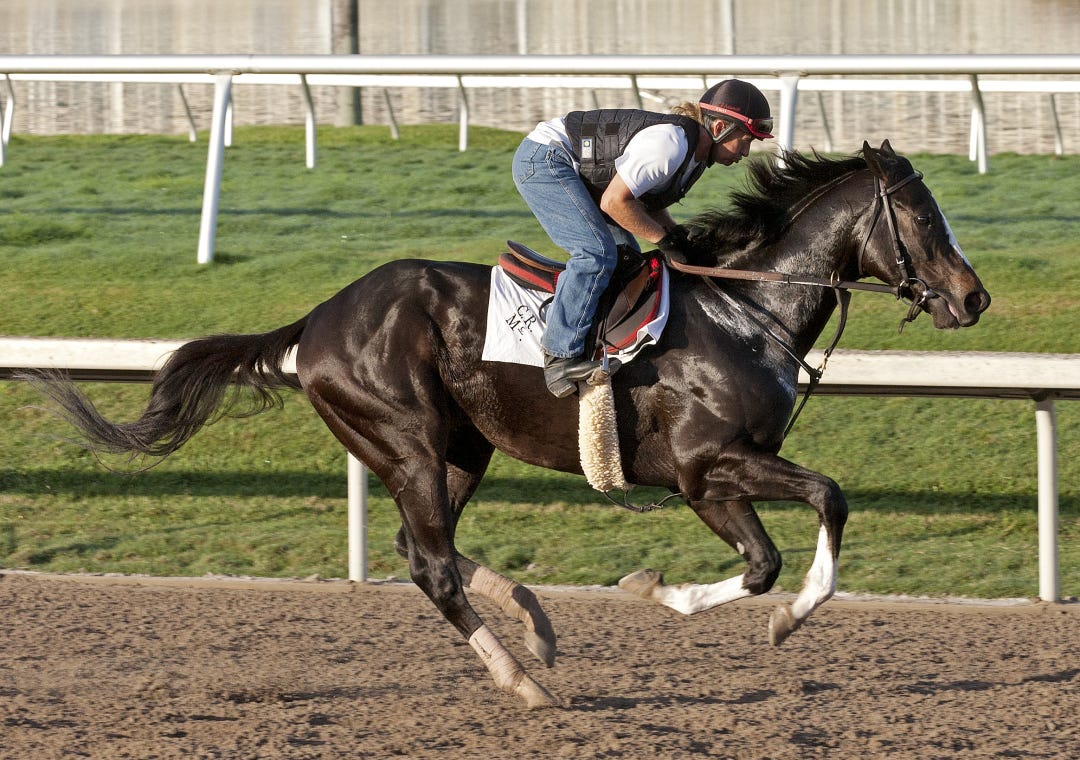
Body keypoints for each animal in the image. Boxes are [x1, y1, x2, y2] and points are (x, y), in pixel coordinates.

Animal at [32, 140, 990, 707]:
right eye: (920, 215)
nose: (974, 297)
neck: (742, 312)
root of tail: (318, 319)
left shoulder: (715, 477)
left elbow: (766, 559)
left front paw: (665, 592)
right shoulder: (707, 466)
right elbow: (817, 511)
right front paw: (779, 617)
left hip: (460, 448)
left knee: (426, 549)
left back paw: (534, 625)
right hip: (407, 441)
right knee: (430, 564)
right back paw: (522, 681)